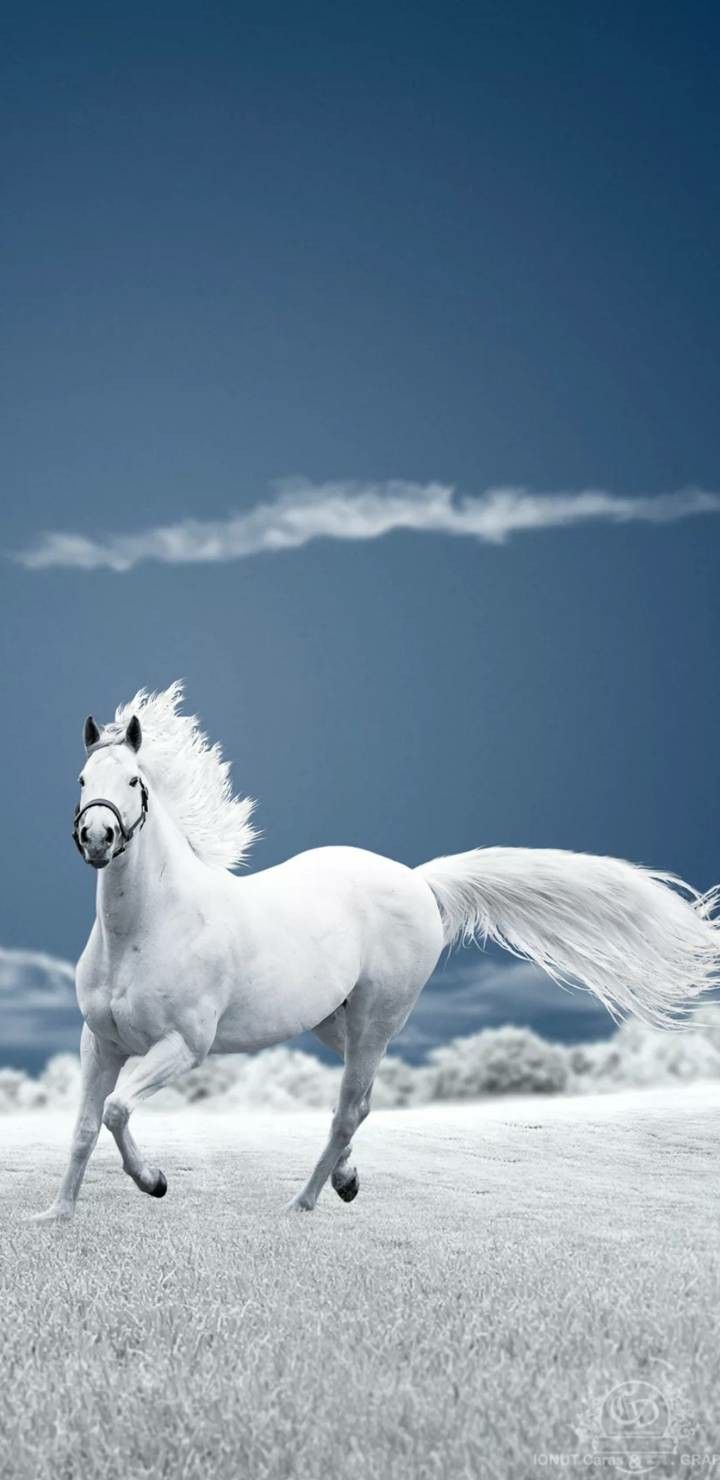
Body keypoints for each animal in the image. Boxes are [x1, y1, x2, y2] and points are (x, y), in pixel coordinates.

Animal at [32, 682, 720, 1220]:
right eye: (83, 779)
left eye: (134, 780)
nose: (97, 837)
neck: (146, 929)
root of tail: (419, 881)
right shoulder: (102, 1043)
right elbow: (85, 1127)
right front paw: (58, 1215)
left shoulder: (184, 1046)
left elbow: (117, 1110)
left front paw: (154, 1182)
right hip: (335, 1021)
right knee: (359, 1100)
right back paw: (345, 1179)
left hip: (376, 1017)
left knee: (346, 1108)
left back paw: (304, 1201)